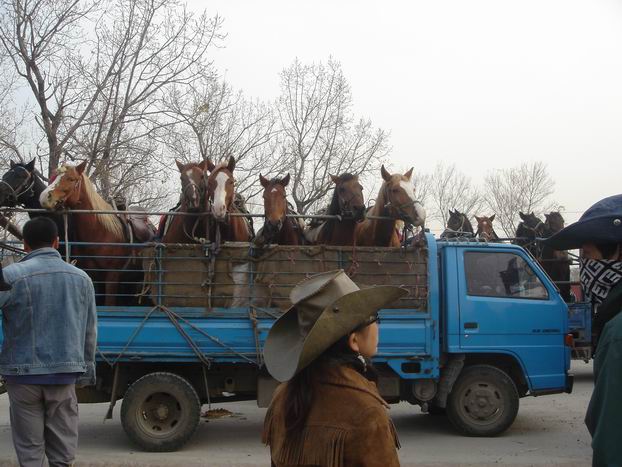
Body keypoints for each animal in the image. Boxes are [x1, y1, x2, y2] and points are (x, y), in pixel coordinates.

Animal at [40, 161, 151, 308]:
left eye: (71, 179)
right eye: (53, 177)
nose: (44, 197)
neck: (100, 233)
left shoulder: (112, 277)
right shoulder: (93, 277)